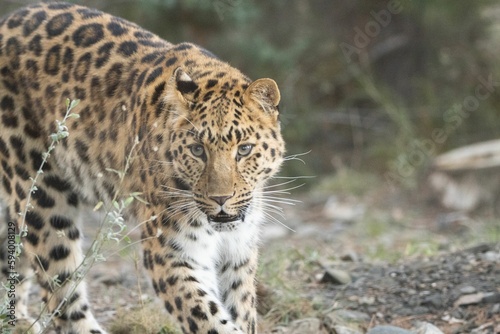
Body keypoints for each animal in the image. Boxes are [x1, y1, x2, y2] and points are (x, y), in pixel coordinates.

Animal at [0, 1, 284, 332]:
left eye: (244, 150)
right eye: (197, 150)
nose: (220, 199)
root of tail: (9, 18)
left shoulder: (239, 255)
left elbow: (240, 310)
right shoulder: (172, 254)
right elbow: (210, 318)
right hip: (41, 194)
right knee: (62, 294)